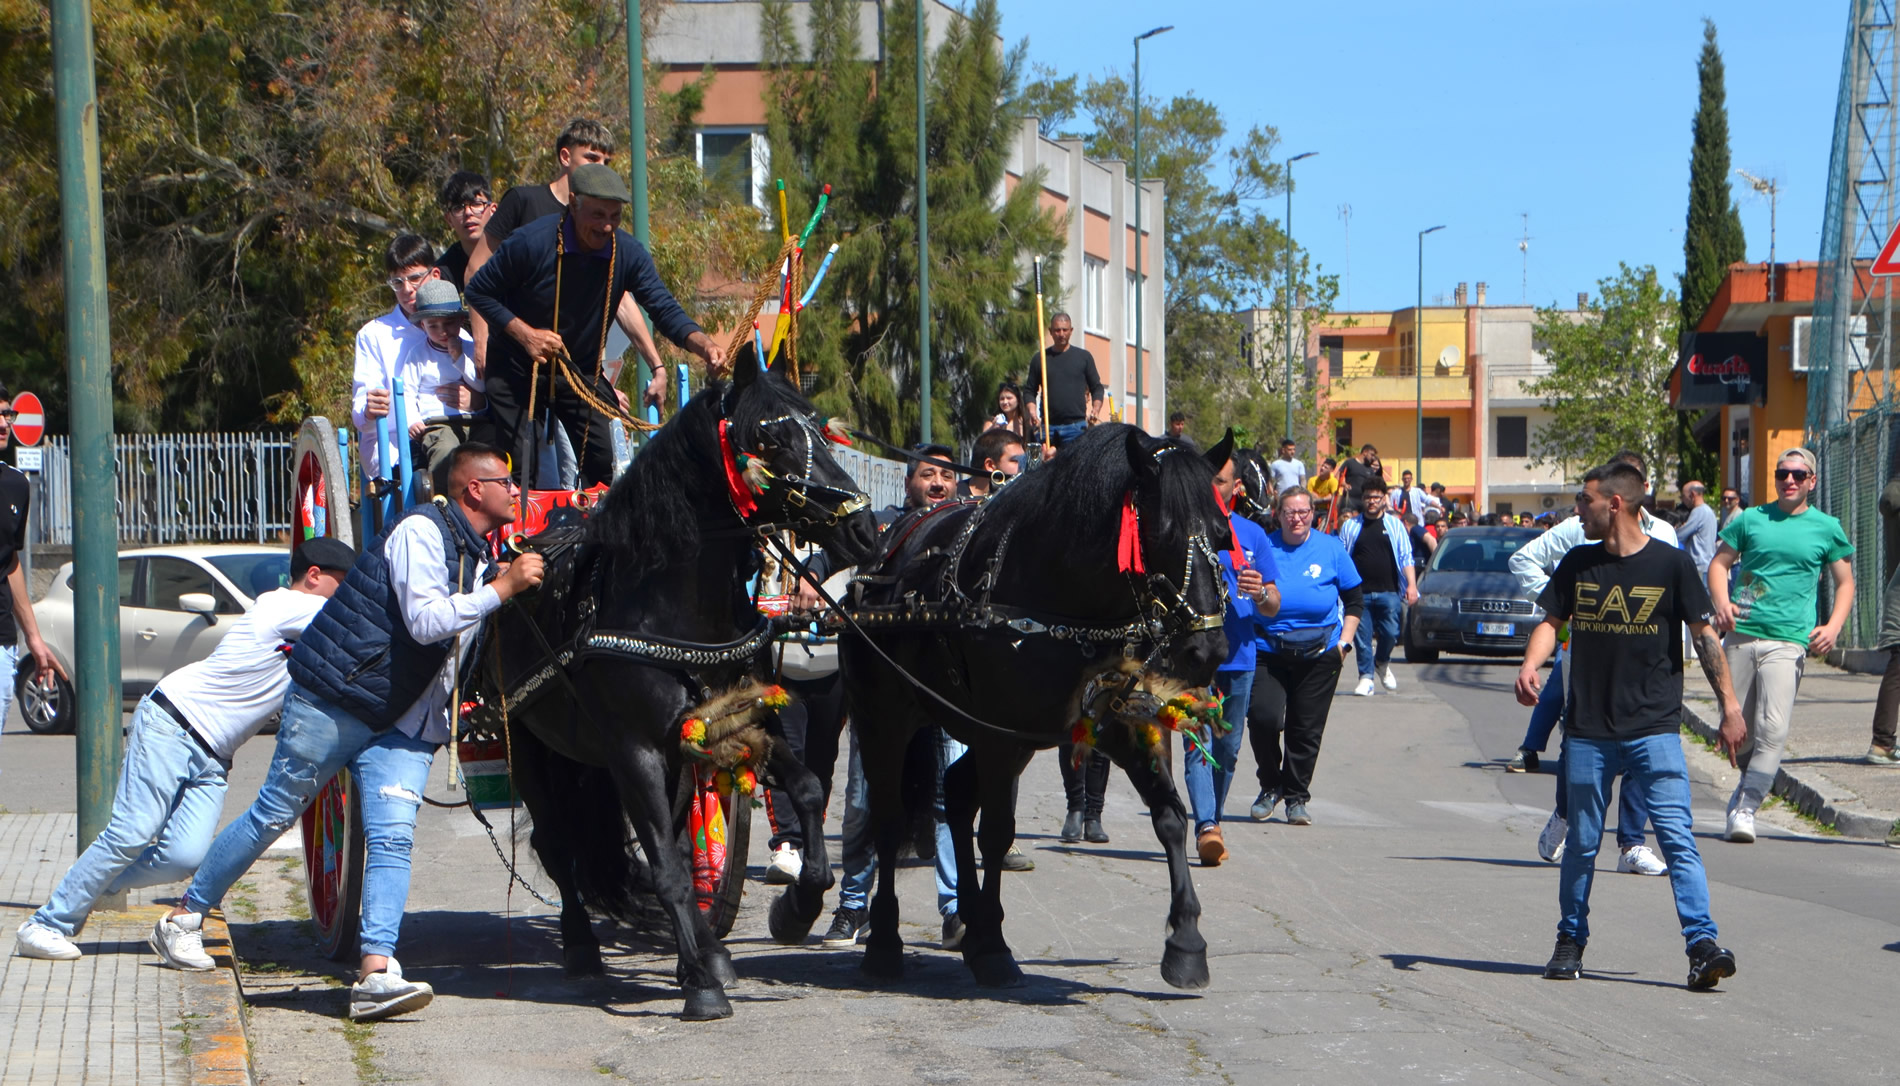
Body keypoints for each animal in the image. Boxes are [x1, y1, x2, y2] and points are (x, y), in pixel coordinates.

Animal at [485, 346, 880, 1020]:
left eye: (820, 430)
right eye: (769, 438)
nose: (863, 529)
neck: (672, 608)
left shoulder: (748, 719)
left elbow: (804, 790)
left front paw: (797, 908)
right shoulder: (633, 752)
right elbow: (666, 867)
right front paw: (701, 986)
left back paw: (704, 948)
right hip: (536, 751)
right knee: (561, 845)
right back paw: (586, 946)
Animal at [841, 425, 1234, 990]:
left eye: (1222, 534)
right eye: (1161, 534)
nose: (1208, 650)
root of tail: (876, 567)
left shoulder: (1116, 725)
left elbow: (1170, 817)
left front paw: (1185, 943)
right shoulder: (998, 737)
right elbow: (996, 833)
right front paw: (994, 948)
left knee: (955, 795)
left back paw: (970, 924)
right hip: (885, 719)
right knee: (891, 821)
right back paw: (887, 943)